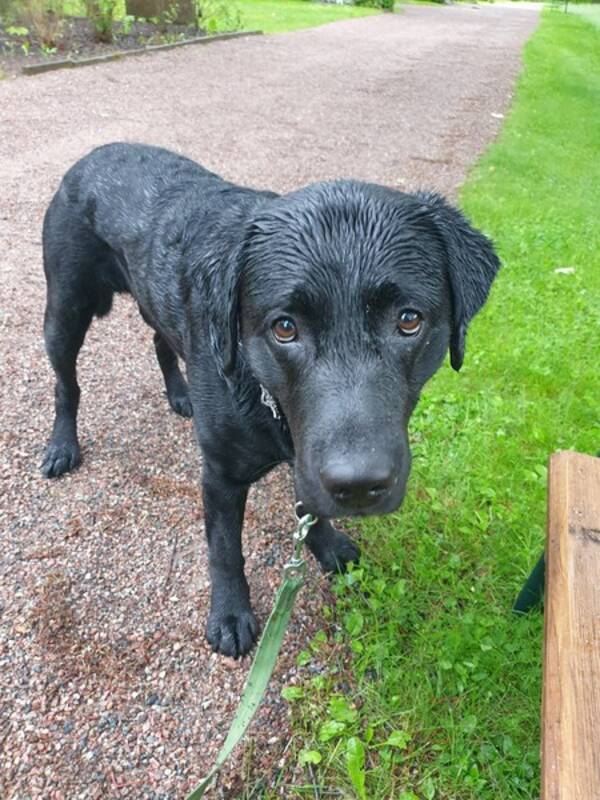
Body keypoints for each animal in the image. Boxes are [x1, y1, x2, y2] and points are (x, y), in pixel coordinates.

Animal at [42, 142, 500, 656]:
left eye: (409, 320)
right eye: (284, 327)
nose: (358, 486)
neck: (267, 400)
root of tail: (94, 153)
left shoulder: (306, 454)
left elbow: (309, 508)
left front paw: (329, 547)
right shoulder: (221, 473)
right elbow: (224, 550)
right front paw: (229, 614)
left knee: (160, 340)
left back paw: (180, 394)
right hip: (65, 309)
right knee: (66, 384)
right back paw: (62, 447)